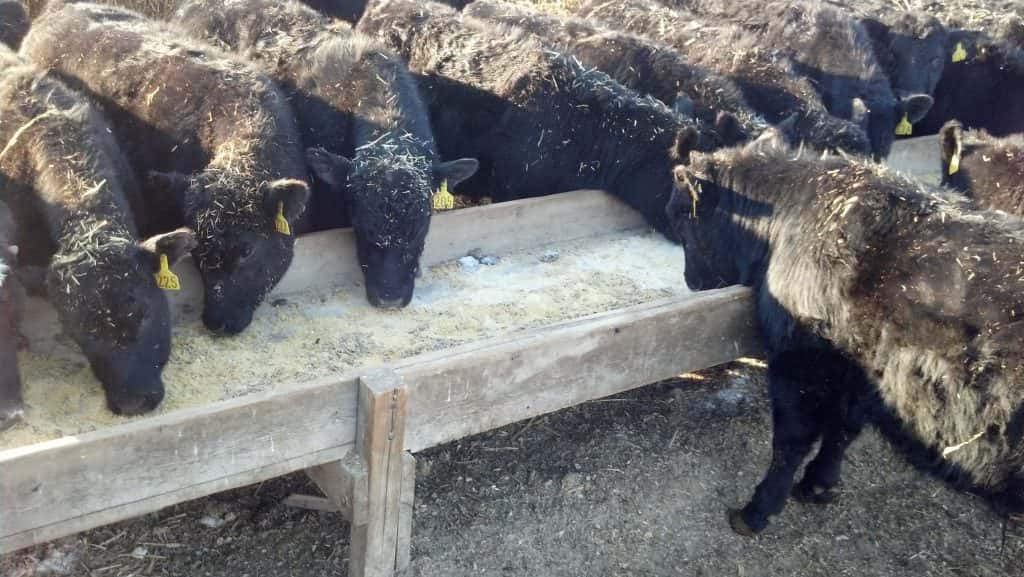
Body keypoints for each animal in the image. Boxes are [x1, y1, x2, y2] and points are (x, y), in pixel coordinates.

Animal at [666, 128, 1024, 536]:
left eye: (681, 220)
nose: (692, 281)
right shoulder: (859, 370)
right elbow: (843, 429)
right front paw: (818, 485)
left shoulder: (800, 360)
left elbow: (793, 438)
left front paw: (757, 510)